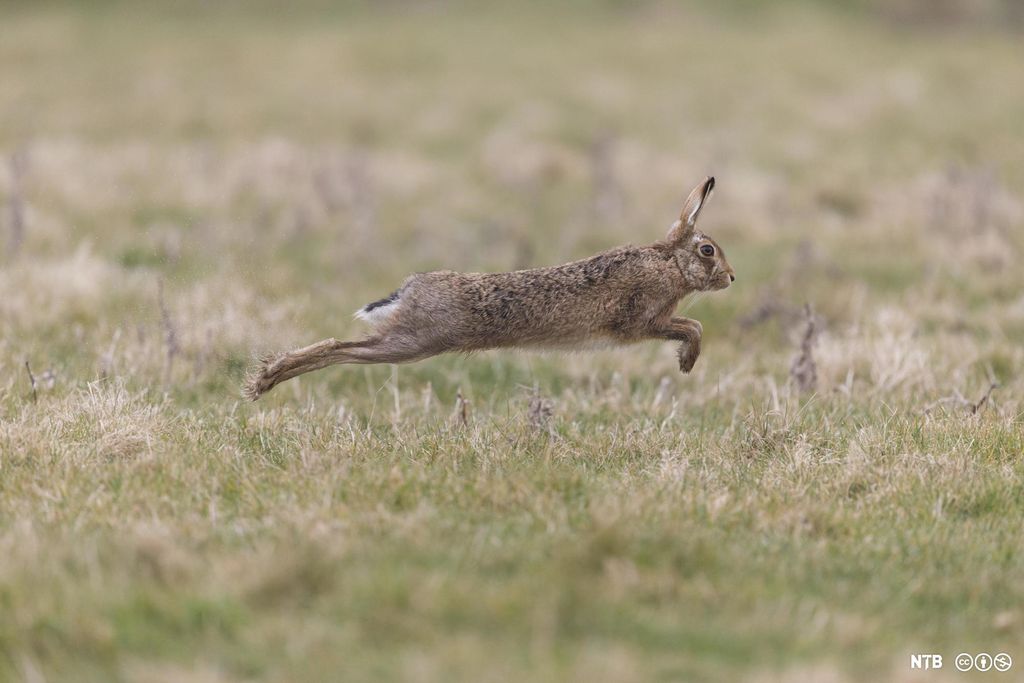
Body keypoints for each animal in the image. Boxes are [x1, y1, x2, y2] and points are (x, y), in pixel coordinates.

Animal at [243, 176, 734, 400]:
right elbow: (692, 326)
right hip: (414, 341)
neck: (668, 262)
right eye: (708, 250)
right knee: (339, 347)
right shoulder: (643, 321)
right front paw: (687, 362)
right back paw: (268, 378)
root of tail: (410, 289)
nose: (731, 278)